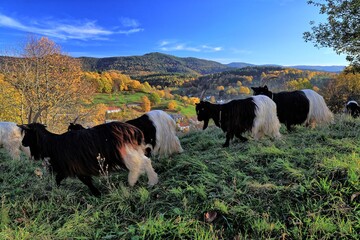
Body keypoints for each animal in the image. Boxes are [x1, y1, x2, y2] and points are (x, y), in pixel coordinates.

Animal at [17, 121, 157, 196]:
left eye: (27, 133)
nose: (22, 142)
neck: (52, 143)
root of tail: (132, 130)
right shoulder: (66, 168)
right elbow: (58, 179)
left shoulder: (74, 166)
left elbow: (86, 181)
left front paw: (97, 194)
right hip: (129, 151)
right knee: (145, 161)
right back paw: (150, 181)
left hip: (123, 153)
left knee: (140, 163)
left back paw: (136, 181)